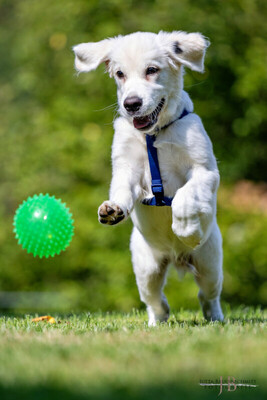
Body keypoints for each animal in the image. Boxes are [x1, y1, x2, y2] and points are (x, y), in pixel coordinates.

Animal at [73, 30, 224, 324]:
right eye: (120, 74)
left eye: (152, 70)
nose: (131, 104)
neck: (154, 134)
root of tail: (177, 259)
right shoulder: (127, 170)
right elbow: (121, 190)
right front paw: (112, 209)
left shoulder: (205, 170)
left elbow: (184, 197)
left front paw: (186, 229)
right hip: (146, 269)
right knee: (156, 301)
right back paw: (156, 322)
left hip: (210, 263)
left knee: (207, 295)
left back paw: (215, 317)